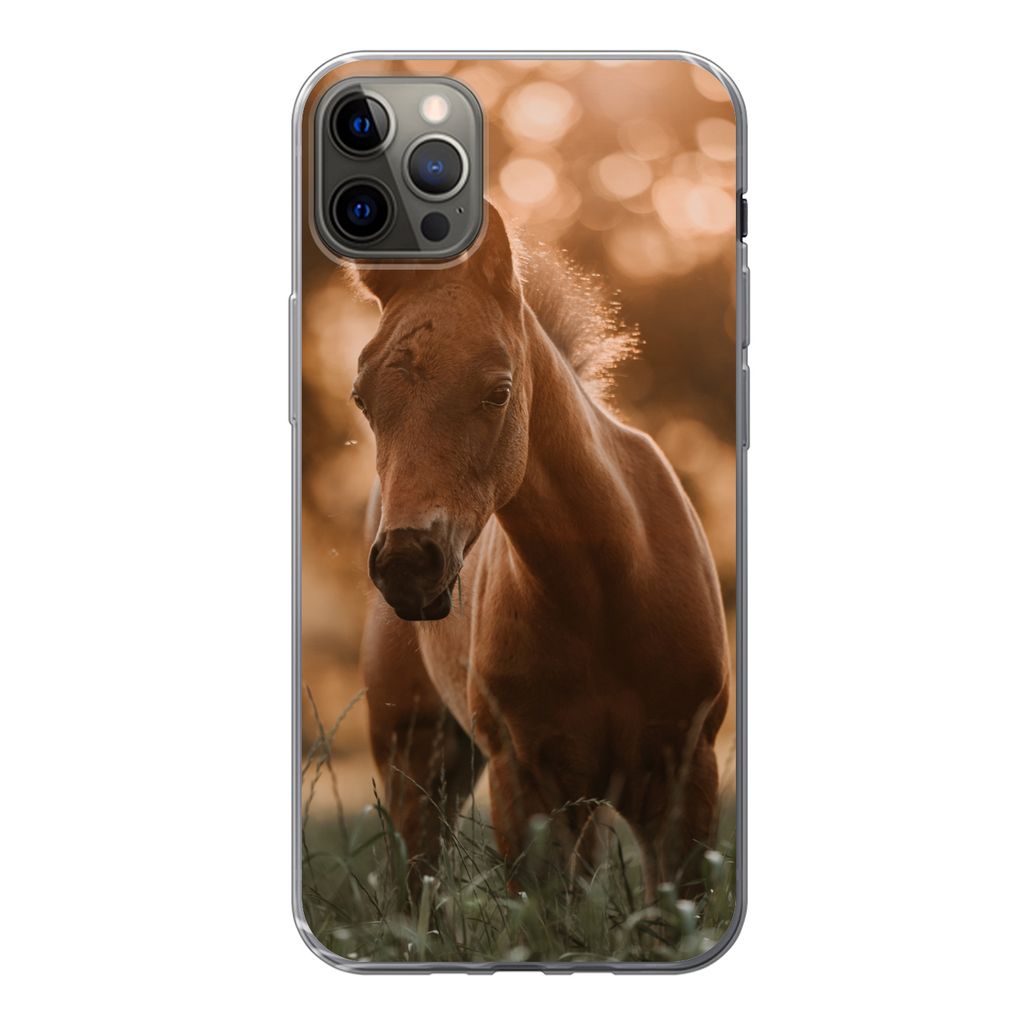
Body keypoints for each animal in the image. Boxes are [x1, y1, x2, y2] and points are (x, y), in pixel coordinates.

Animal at [350, 204, 729, 902]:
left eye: (499, 391)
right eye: (362, 398)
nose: (407, 566)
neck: (604, 591)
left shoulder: (686, 776)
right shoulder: (524, 786)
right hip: (415, 755)